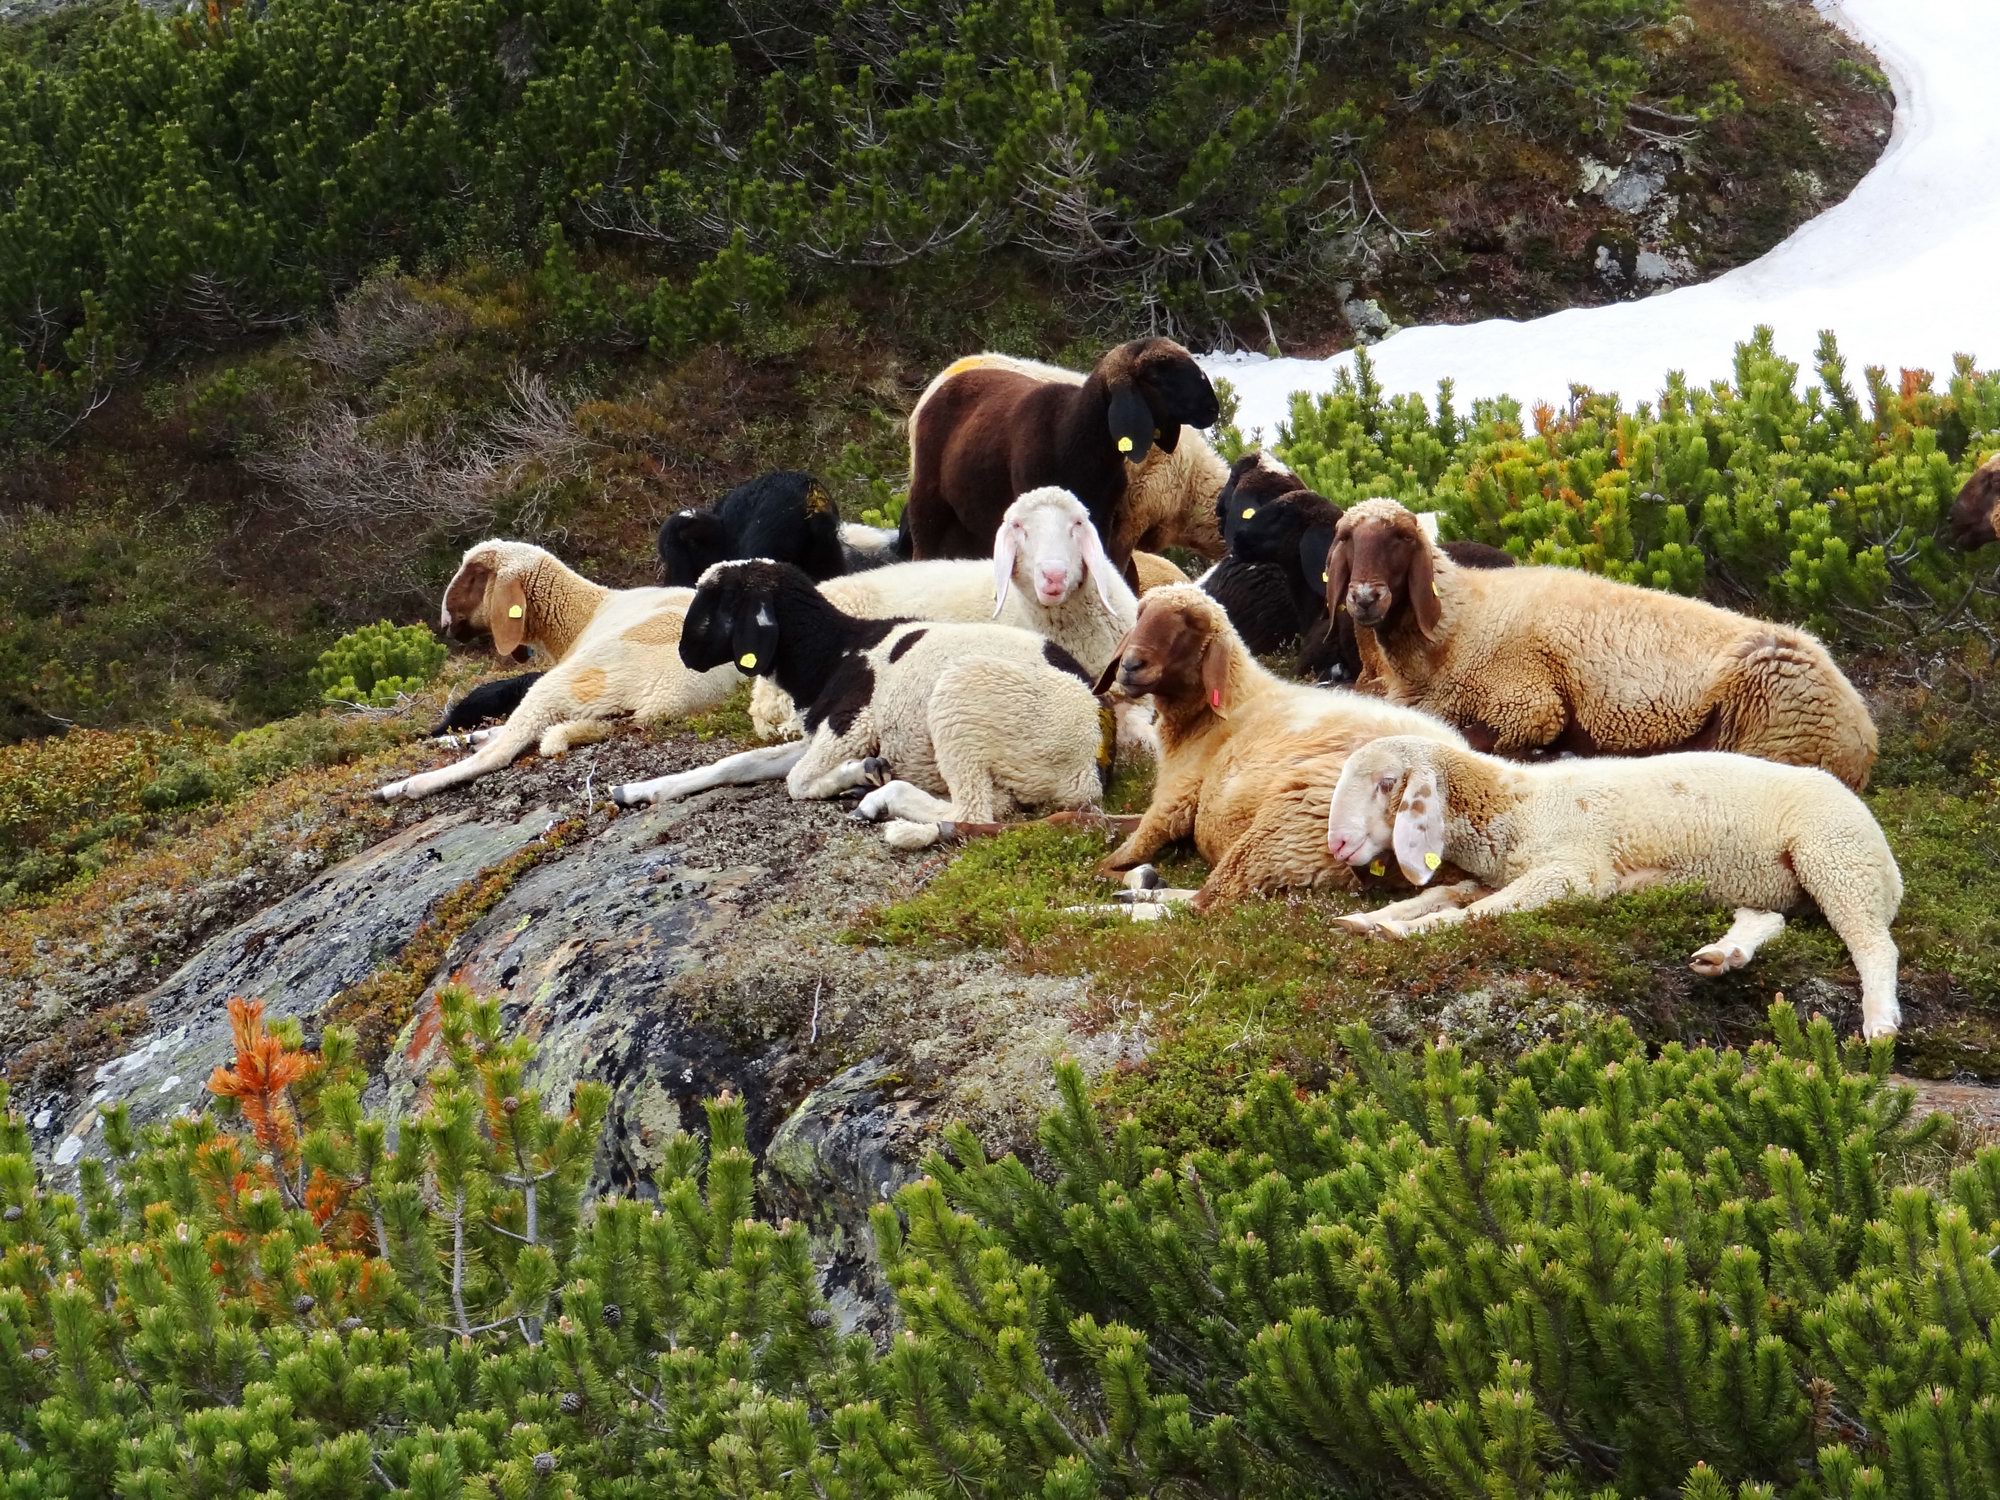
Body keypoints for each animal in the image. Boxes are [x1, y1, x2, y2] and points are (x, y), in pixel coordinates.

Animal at [376, 536, 744, 800]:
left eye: (475, 577)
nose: (444, 623)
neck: (584, 613)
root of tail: (666, 701)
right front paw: (472, 735)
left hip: (570, 681)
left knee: (502, 751)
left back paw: (403, 787)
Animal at [1328, 500, 1872, 792]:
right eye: (1348, 539)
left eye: (1401, 539)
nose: (1365, 597)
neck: (1459, 622)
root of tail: (1864, 732)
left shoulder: (1529, 704)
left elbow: (1481, 736)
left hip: (1769, 719)